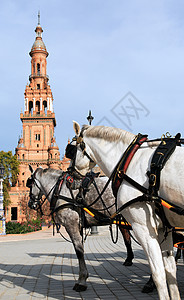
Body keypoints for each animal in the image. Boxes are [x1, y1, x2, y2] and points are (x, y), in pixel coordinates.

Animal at [68, 120, 184, 298]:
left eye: (71, 150)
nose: (69, 177)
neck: (130, 160)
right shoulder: (165, 229)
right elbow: (170, 271)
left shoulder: (144, 229)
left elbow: (158, 273)